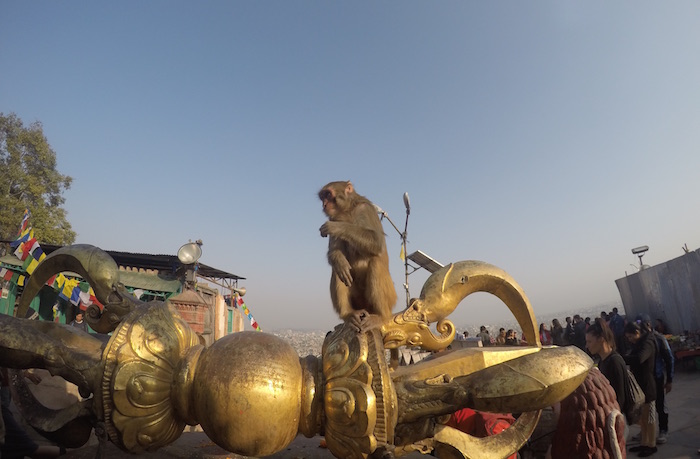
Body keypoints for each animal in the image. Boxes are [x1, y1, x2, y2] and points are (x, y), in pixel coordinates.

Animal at [320, 181, 396, 330]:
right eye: (323, 197)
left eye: (328, 195)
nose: (324, 204)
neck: (348, 210)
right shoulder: (334, 216)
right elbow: (334, 252)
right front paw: (339, 260)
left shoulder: (365, 210)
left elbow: (376, 242)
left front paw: (337, 227)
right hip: (358, 302)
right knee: (338, 270)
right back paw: (348, 314)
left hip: (390, 296)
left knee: (376, 263)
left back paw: (381, 316)